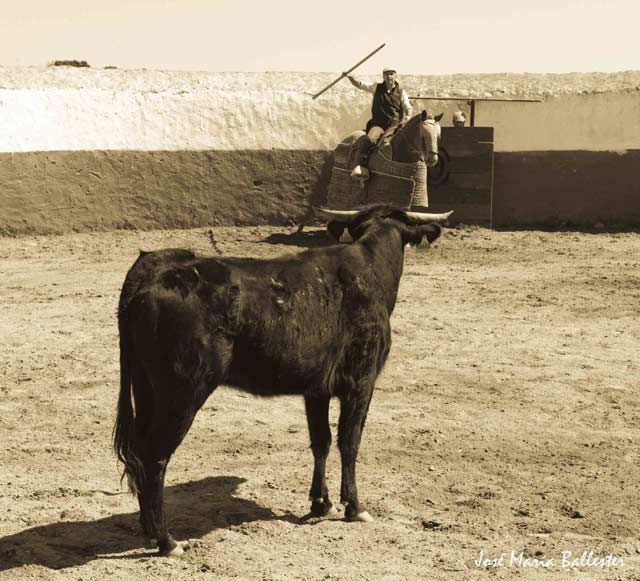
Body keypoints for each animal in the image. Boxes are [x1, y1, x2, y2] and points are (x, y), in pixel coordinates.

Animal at [115, 203, 442, 552]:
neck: (371, 268)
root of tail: (152, 271)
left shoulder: (316, 389)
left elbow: (321, 441)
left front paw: (320, 503)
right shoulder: (361, 382)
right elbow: (349, 441)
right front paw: (354, 507)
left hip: (146, 388)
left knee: (139, 451)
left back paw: (148, 530)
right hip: (183, 393)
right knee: (155, 456)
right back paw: (167, 540)